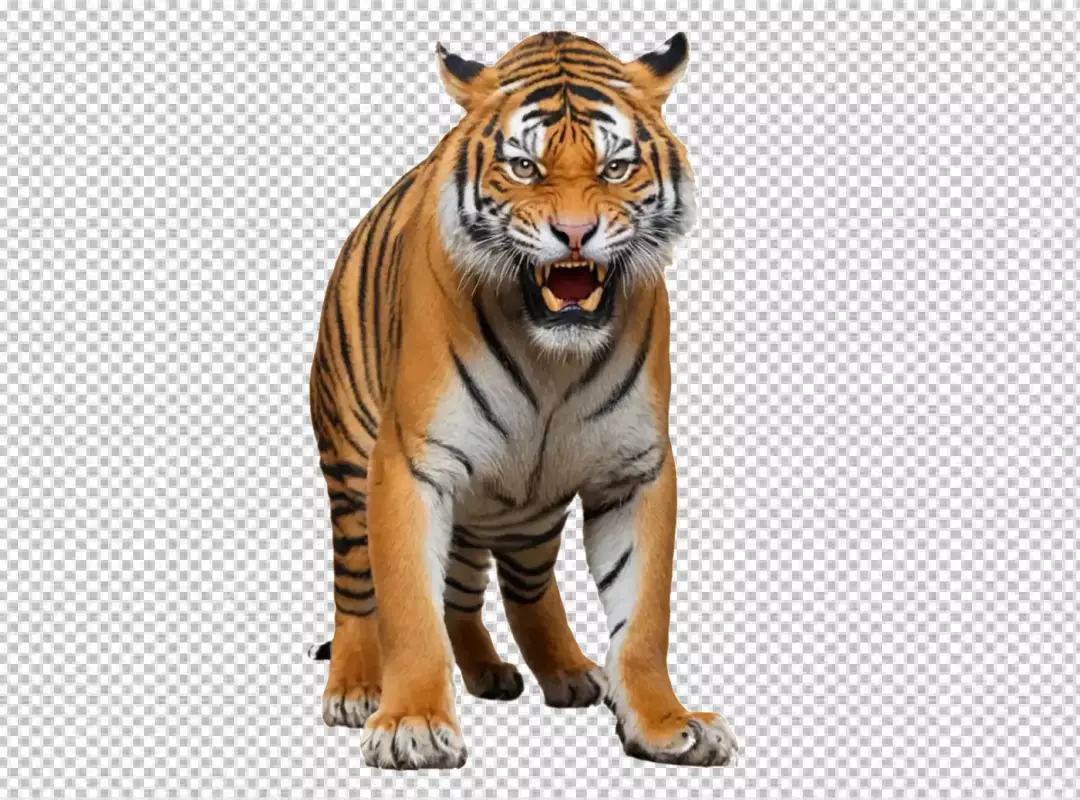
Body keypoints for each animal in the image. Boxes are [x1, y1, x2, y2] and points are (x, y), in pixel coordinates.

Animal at [307, 30, 738, 768]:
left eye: (617, 167)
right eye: (524, 167)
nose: (575, 233)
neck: (551, 364)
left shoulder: (636, 470)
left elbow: (643, 616)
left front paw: (665, 722)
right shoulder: (412, 465)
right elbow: (409, 608)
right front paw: (412, 724)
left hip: (527, 513)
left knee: (504, 592)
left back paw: (552, 669)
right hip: (350, 465)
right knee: (360, 589)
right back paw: (357, 687)